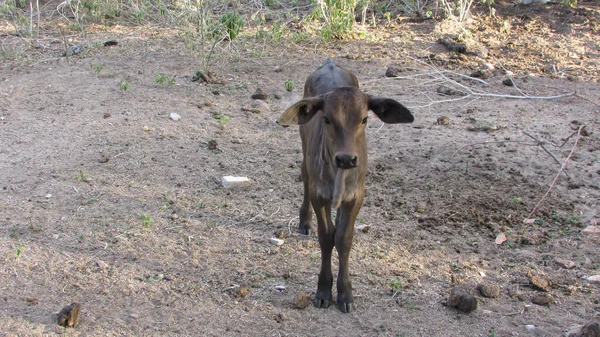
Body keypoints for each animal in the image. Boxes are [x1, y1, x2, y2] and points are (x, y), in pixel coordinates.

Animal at [280, 58, 412, 312]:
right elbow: (326, 236)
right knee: (304, 173)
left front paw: (345, 294)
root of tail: (329, 63)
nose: (346, 159)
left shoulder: (356, 196)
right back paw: (304, 221)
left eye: (365, 119)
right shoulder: (319, 195)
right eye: (327, 119)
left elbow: (343, 237)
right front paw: (323, 291)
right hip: (304, 145)